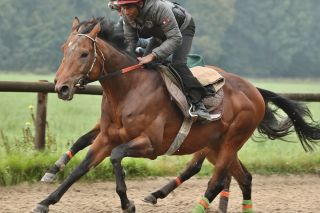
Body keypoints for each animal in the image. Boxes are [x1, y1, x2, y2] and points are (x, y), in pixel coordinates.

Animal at [32, 17, 320, 212]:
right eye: (63, 49)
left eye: (83, 53)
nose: (62, 87)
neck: (128, 90)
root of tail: (255, 91)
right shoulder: (105, 137)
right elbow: (80, 167)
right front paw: (46, 199)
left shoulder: (150, 145)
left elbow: (115, 157)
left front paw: (127, 202)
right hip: (216, 144)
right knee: (243, 177)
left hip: (231, 140)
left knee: (215, 181)